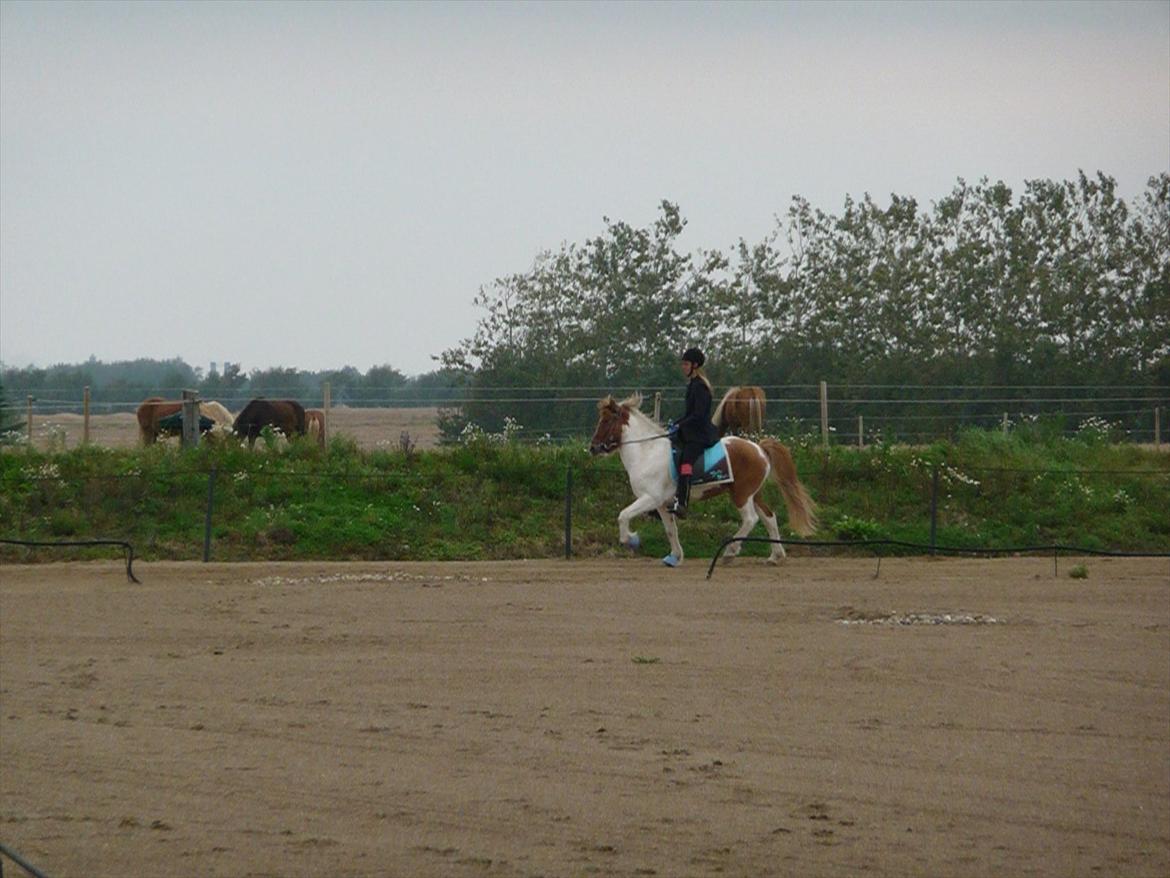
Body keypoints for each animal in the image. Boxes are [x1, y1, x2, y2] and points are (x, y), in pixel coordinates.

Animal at [589, 393, 819, 571]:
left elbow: (623, 515)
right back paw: (775, 556)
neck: (648, 452)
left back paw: (730, 552)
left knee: (751, 519)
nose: (593, 448)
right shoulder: (662, 504)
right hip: (753, 494)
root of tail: (759, 448)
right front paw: (675, 557)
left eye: (606, 421)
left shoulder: (650, 498)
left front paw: (631, 539)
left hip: (741, 494)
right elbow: (670, 530)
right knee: (769, 518)